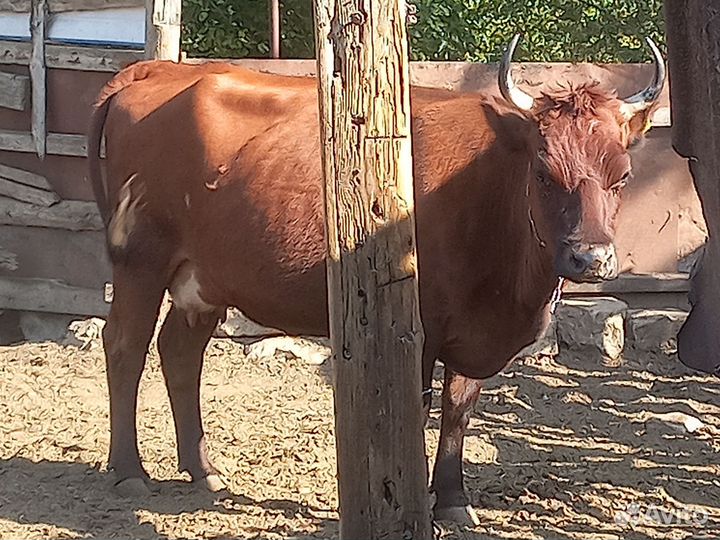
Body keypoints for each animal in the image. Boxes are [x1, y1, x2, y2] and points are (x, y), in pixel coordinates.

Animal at [87, 36, 665, 523]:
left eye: (623, 176)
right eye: (544, 173)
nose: (591, 257)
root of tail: (161, 69)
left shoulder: (473, 329)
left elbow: (460, 408)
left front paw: (452, 499)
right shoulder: (419, 328)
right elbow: (418, 407)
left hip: (202, 280)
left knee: (180, 353)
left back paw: (202, 469)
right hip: (140, 258)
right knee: (125, 346)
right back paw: (129, 470)